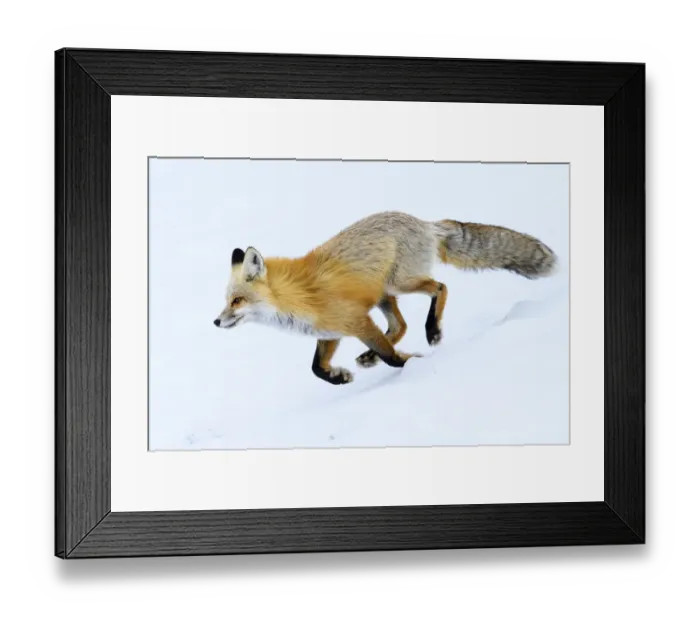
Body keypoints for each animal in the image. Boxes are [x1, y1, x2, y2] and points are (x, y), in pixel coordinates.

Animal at [213, 211, 557, 385]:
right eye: (227, 300)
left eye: (237, 301)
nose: (216, 321)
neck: (297, 297)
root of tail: (423, 223)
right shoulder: (332, 331)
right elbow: (316, 368)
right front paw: (340, 377)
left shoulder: (356, 321)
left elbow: (392, 357)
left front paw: (413, 364)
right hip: (384, 294)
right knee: (400, 326)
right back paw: (369, 357)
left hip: (398, 284)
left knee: (440, 288)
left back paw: (432, 331)